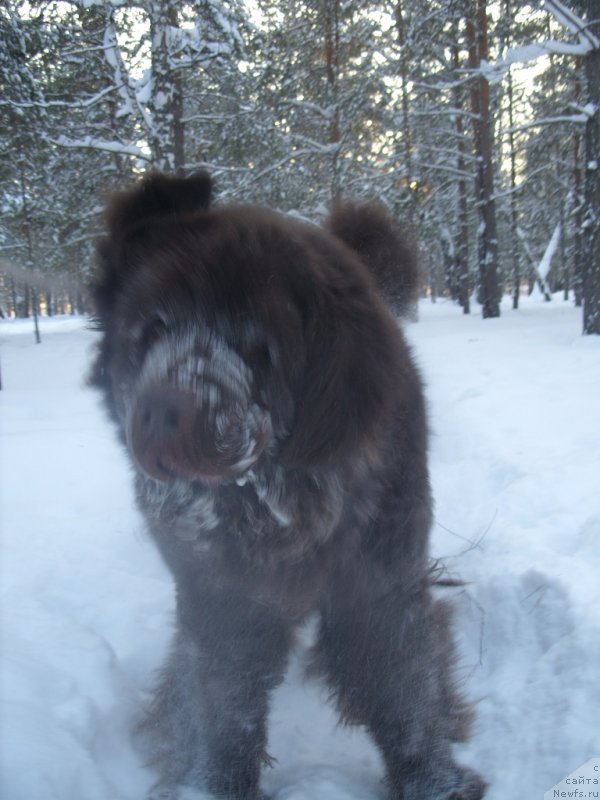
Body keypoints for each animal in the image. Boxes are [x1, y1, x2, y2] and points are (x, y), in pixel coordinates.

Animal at [90, 173, 482, 800]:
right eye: (151, 329)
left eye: (258, 348)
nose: (162, 412)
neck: (277, 509)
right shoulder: (223, 598)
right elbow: (226, 704)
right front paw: (211, 785)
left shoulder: (378, 583)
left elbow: (404, 689)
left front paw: (434, 782)